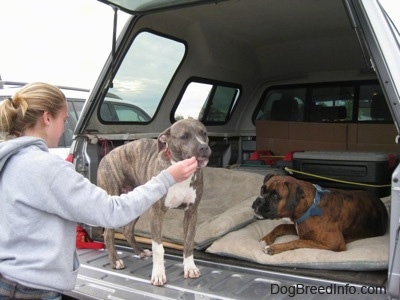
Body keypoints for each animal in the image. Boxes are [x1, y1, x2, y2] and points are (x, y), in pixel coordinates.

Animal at [97, 119, 211, 286]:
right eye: (184, 136)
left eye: (204, 133)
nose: (203, 147)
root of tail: (106, 156)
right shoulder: (157, 213)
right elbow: (159, 248)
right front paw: (158, 274)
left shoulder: (191, 212)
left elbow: (189, 242)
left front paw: (190, 267)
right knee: (108, 234)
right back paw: (115, 260)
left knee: (127, 229)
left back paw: (140, 251)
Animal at [253, 175, 388, 254]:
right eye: (262, 189)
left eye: (275, 196)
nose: (258, 200)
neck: (310, 207)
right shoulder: (298, 228)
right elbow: (280, 226)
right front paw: (266, 239)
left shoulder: (334, 243)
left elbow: (299, 242)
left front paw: (274, 248)